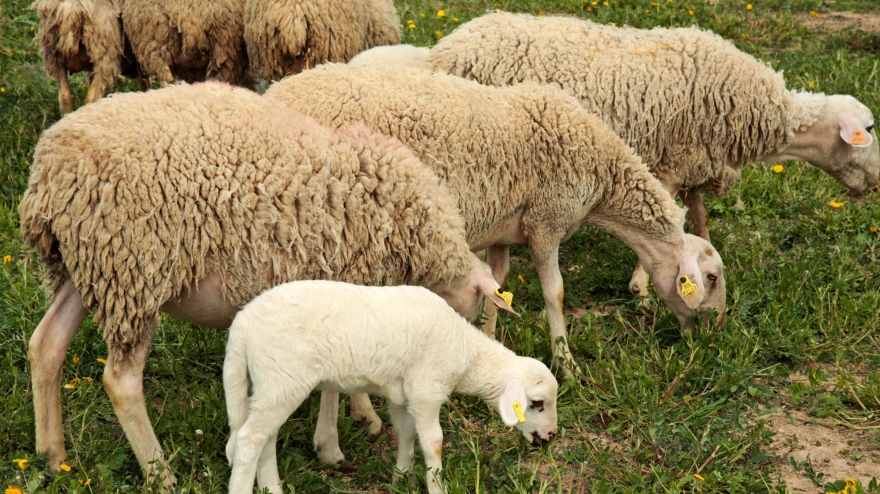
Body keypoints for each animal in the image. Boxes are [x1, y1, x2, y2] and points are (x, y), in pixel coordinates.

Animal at [18, 81, 514, 483]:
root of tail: (49, 172)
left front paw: (356, 419)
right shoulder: (345, 286)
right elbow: (334, 384)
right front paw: (335, 442)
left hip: (88, 266)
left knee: (46, 343)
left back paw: (52, 454)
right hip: (134, 270)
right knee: (120, 381)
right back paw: (159, 471)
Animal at [224, 280, 558, 494]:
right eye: (537, 403)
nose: (551, 436)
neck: (466, 352)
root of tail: (241, 325)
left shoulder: (403, 395)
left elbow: (406, 433)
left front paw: (402, 478)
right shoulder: (427, 391)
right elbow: (434, 442)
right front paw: (436, 487)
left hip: (269, 384)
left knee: (265, 439)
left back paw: (272, 488)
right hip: (282, 377)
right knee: (249, 441)